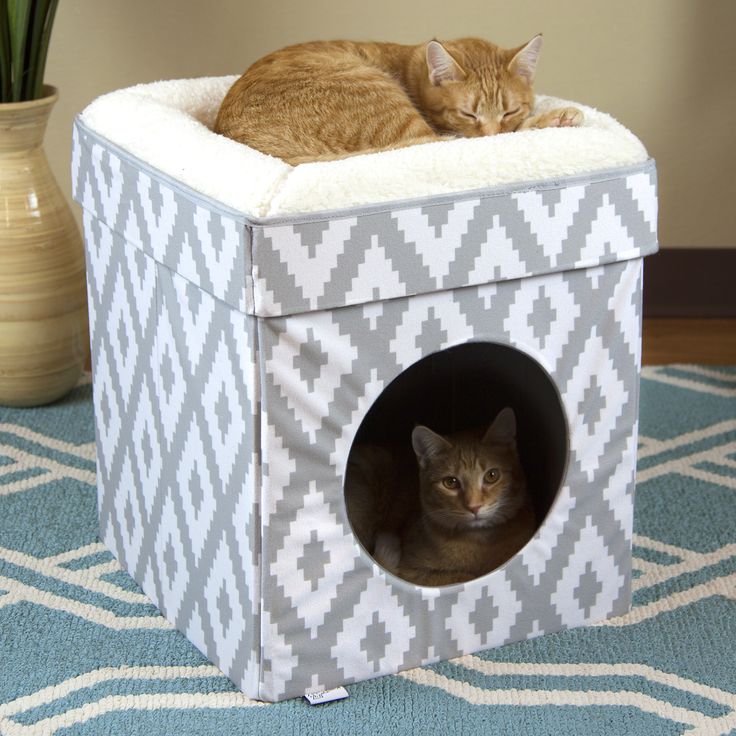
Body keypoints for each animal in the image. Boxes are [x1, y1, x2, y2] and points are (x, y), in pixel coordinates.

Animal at [344, 408, 536, 588]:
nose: (474, 507)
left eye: (492, 475)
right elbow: (463, 576)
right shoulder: (411, 572)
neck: (481, 543)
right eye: (450, 482)